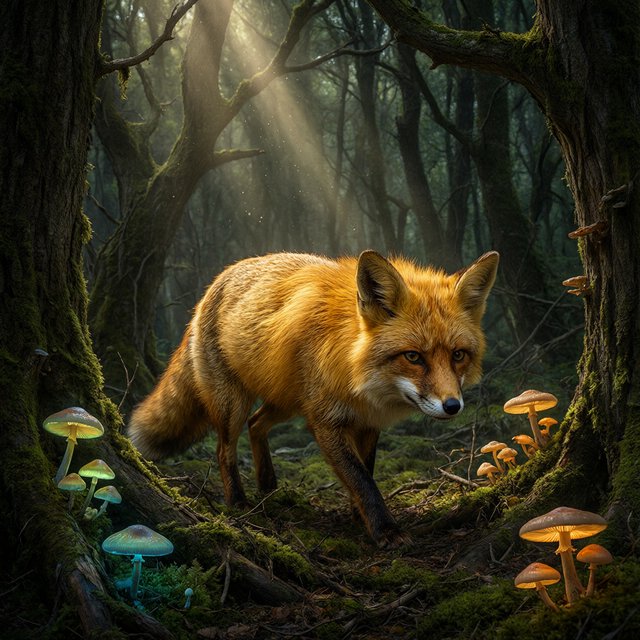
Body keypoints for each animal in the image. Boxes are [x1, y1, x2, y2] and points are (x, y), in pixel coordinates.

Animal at [128, 250, 499, 547]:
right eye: (413, 357)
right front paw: (385, 530)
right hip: (234, 403)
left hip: (288, 401)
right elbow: (361, 479)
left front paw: (359, 516)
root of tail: (218, 280)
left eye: (458, 355)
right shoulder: (326, 422)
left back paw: (268, 485)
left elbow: (366, 470)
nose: (453, 406)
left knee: (256, 424)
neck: (358, 374)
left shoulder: (368, 423)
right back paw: (239, 502)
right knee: (225, 450)